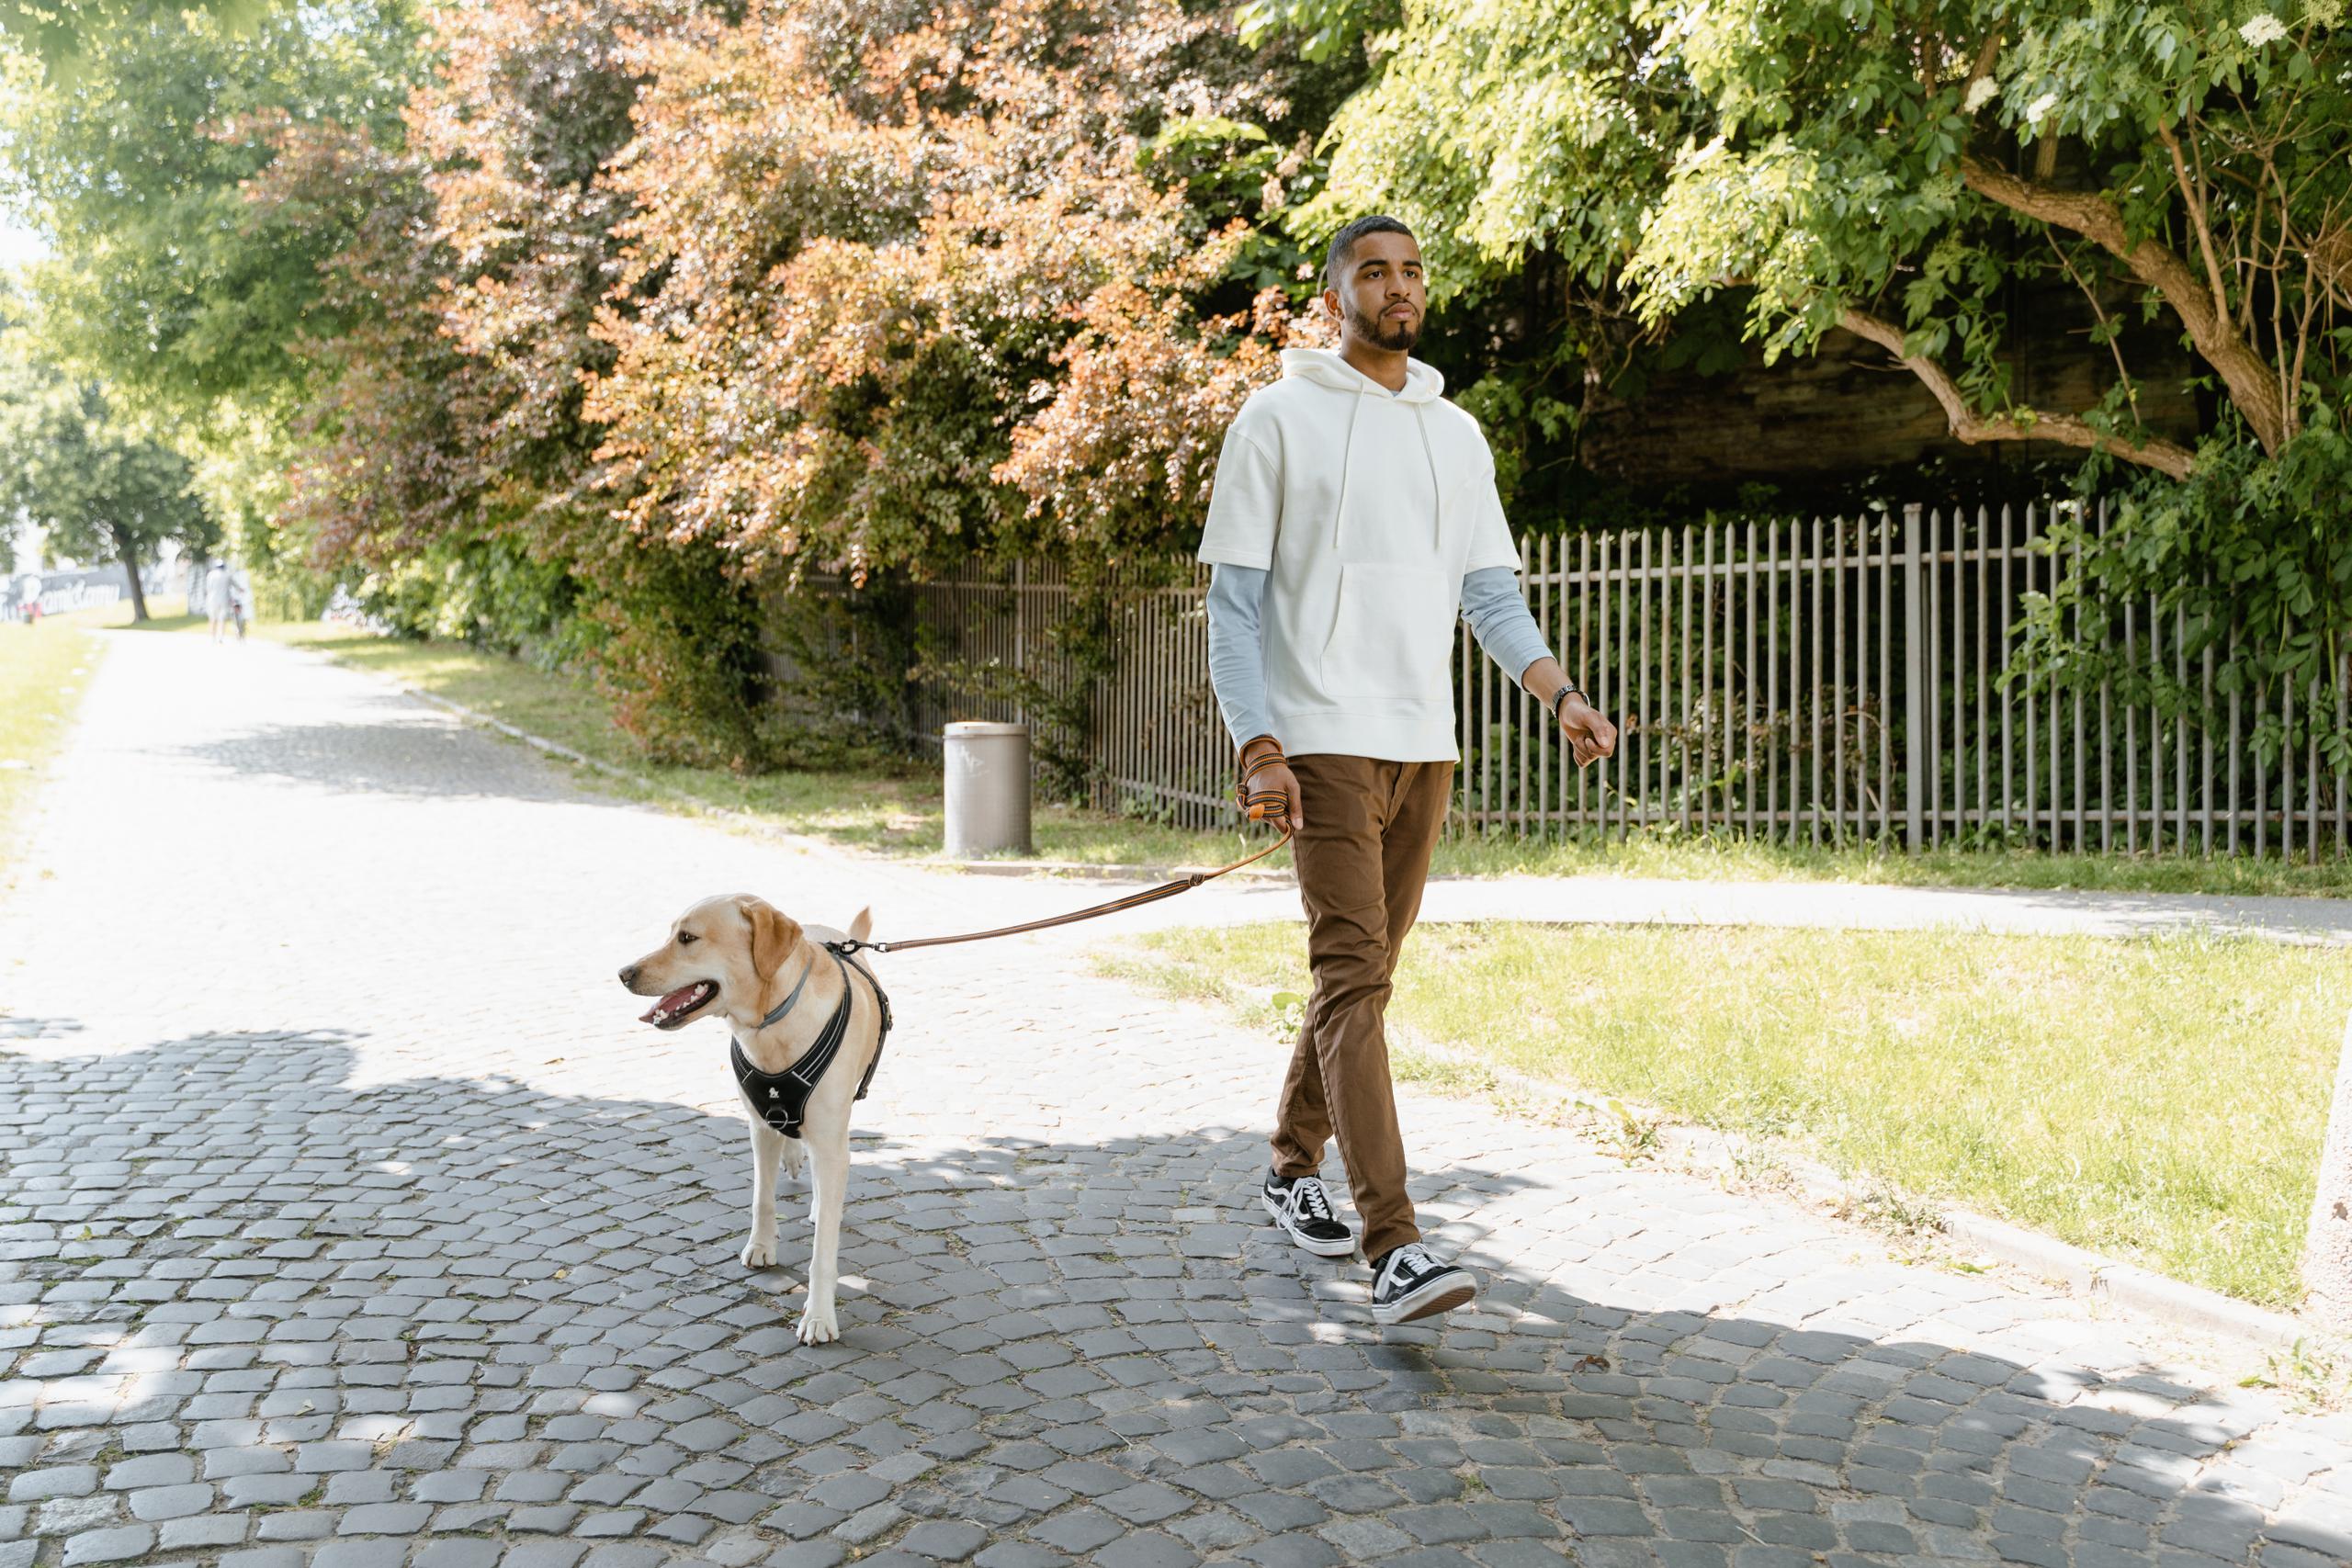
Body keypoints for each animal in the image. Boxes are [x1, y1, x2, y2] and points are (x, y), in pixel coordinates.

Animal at [620, 893, 884, 1354]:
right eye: (671, 933)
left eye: (687, 938)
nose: (623, 973)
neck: (770, 1023)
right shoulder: (758, 1126)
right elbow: (762, 1198)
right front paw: (761, 1246)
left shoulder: (831, 1139)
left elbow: (823, 1252)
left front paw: (818, 1316)